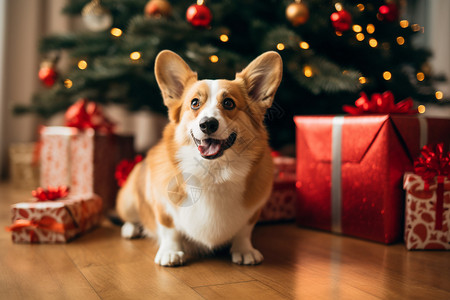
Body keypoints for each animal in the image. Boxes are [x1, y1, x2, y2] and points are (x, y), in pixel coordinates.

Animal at [118, 49, 284, 268]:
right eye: (194, 103)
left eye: (229, 103)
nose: (207, 124)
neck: (213, 171)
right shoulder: (163, 207)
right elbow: (169, 229)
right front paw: (170, 252)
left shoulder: (253, 211)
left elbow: (244, 230)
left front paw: (244, 250)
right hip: (128, 200)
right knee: (130, 217)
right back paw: (131, 229)